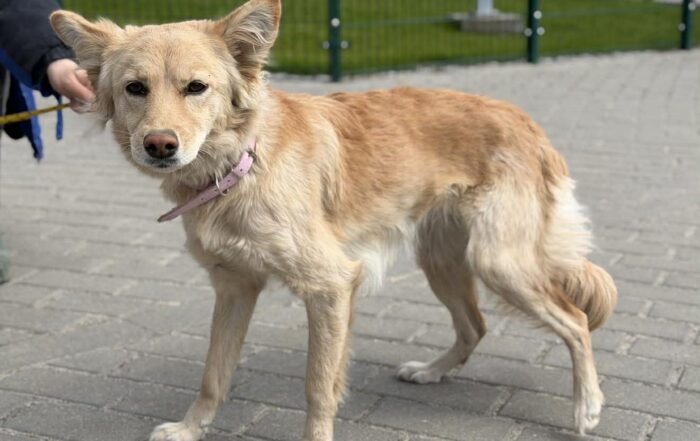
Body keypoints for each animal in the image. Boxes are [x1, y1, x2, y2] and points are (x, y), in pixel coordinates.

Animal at [50, 1, 617, 440]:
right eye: (135, 88)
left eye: (196, 87)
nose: (160, 145)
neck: (242, 164)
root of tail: (525, 121)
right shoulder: (234, 287)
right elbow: (214, 373)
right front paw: (191, 429)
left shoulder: (331, 286)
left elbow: (317, 387)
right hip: (442, 259)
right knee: (474, 326)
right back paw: (432, 372)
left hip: (500, 261)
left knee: (575, 321)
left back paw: (586, 406)